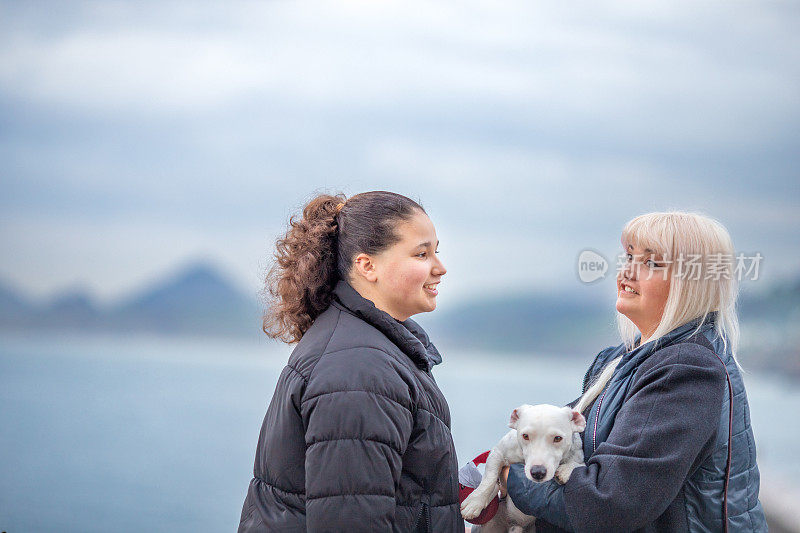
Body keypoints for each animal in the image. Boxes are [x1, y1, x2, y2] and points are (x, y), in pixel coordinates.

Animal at [460, 404, 584, 532]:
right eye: (525, 436)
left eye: (558, 438)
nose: (538, 472)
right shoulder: (497, 453)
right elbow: (489, 479)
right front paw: (475, 502)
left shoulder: (578, 456)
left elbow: (579, 464)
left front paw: (566, 469)